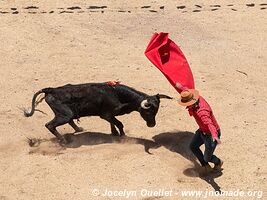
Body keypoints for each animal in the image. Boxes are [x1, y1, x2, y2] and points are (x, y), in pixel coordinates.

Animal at [24, 82, 173, 143]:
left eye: (156, 110)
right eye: (148, 112)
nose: (152, 125)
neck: (118, 94)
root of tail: (51, 90)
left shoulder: (109, 115)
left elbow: (114, 123)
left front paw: (114, 133)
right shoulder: (106, 114)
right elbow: (120, 124)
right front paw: (123, 136)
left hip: (65, 113)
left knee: (69, 120)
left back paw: (79, 129)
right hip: (64, 115)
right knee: (50, 125)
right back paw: (63, 141)